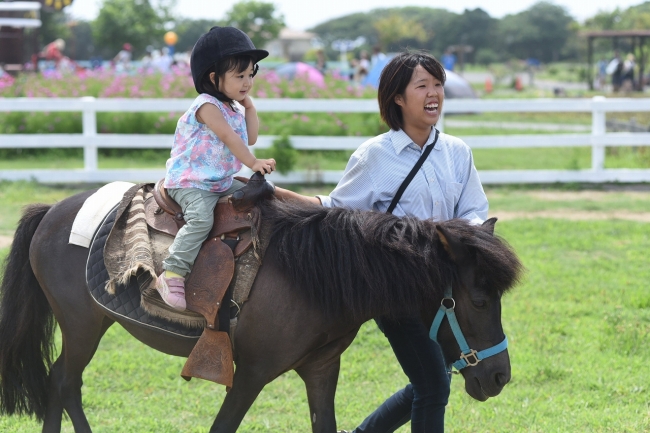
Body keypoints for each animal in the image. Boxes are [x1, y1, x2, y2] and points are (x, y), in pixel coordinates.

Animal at [0, 193, 516, 432]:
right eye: (478, 300)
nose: (499, 378)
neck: (311, 273)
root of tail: (54, 210)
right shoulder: (249, 374)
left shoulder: (321, 371)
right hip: (82, 326)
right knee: (64, 381)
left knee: (61, 382)